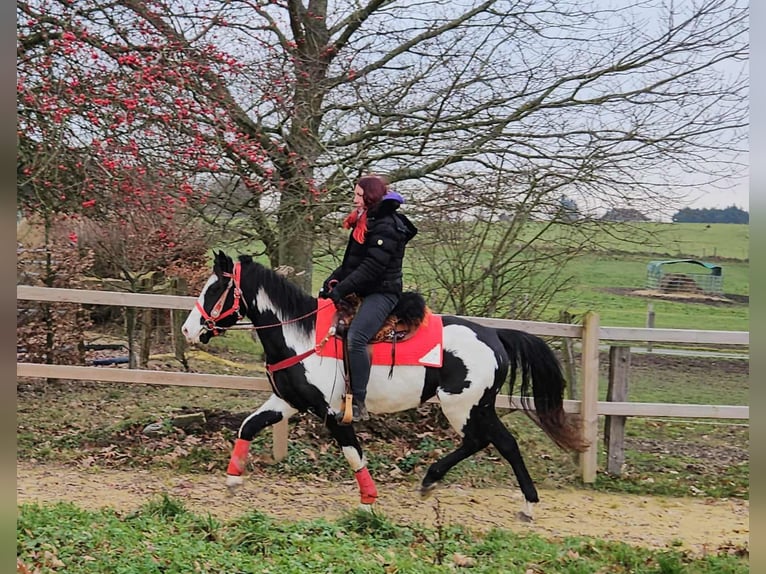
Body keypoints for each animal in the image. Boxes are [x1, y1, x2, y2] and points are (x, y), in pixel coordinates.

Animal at [181, 251, 587, 519]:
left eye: (215, 288)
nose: (188, 330)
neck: (304, 336)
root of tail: (494, 336)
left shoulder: (332, 412)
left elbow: (352, 452)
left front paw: (369, 500)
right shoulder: (288, 402)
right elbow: (248, 426)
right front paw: (233, 480)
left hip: (463, 406)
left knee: (487, 441)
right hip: (478, 406)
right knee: (499, 442)